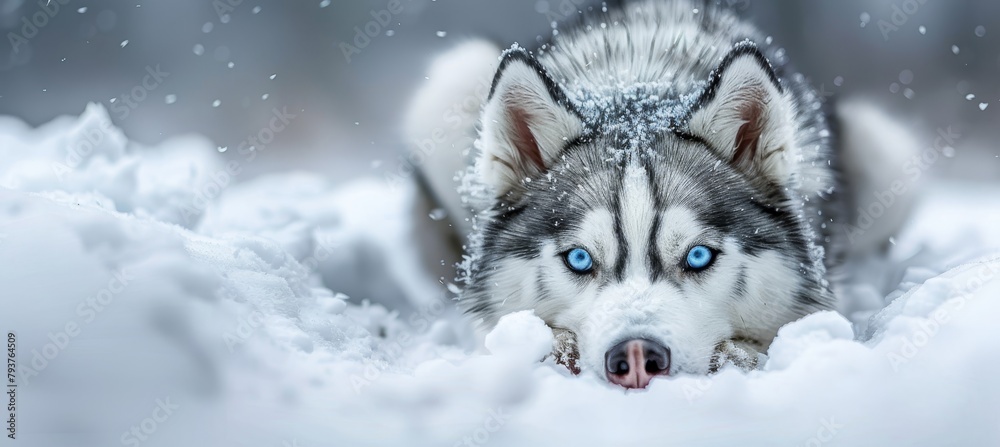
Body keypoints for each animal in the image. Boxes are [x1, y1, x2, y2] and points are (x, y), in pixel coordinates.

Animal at [404, 0, 916, 388]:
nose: (634, 355)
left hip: (887, 153)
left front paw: (737, 355)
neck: (638, 87)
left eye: (698, 256)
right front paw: (557, 347)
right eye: (579, 259)